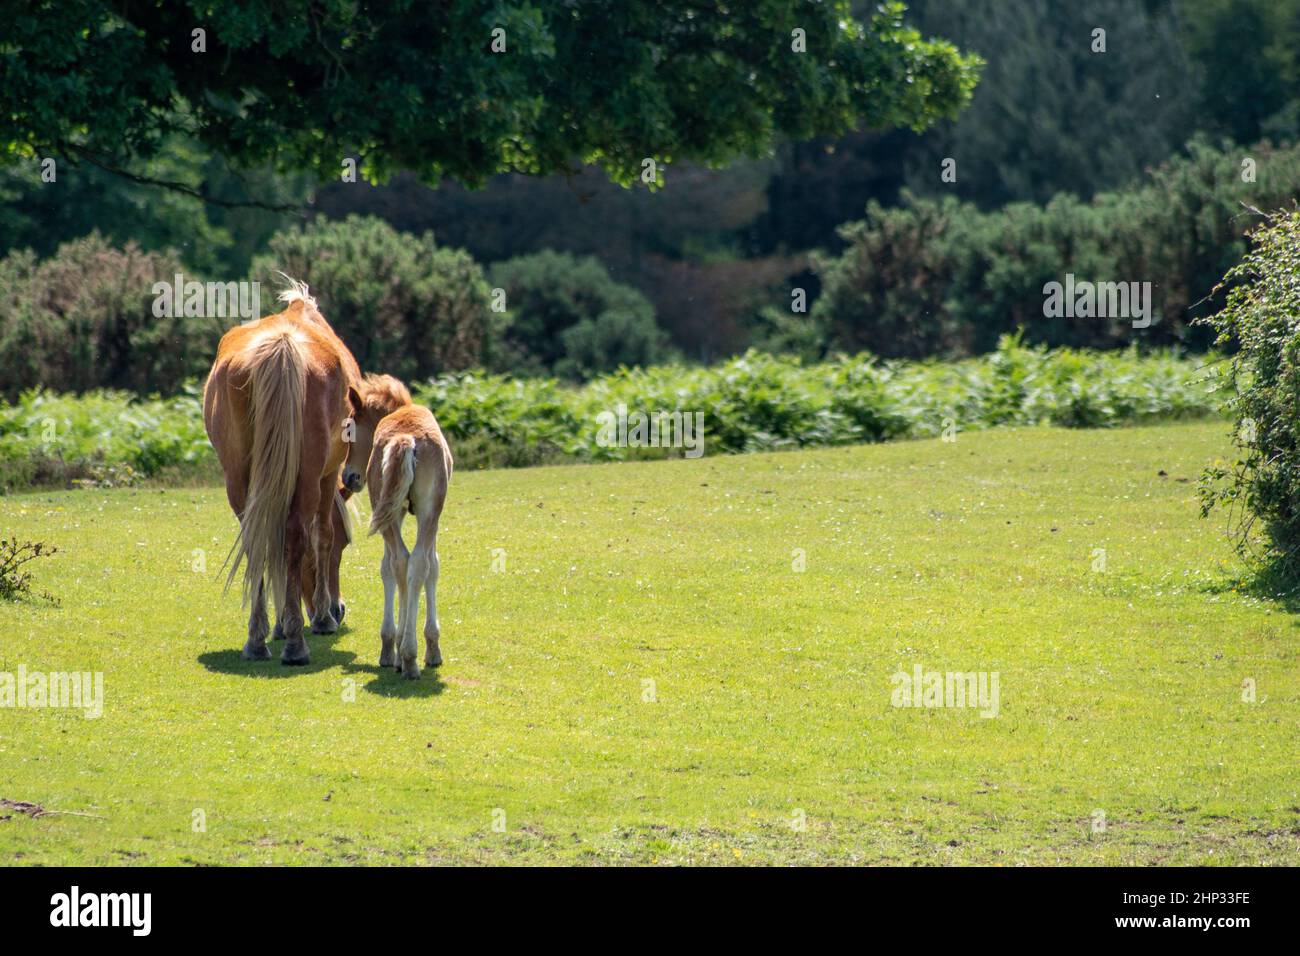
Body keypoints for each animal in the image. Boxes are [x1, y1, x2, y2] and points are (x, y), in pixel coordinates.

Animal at [202, 280, 366, 660]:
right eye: (345, 546)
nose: (340, 608)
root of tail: (281, 347)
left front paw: (277, 625)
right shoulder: (327, 475)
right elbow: (321, 535)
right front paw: (319, 619)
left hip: (238, 479)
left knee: (256, 538)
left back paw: (257, 638)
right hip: (308, 477)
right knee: (293, 537)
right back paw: (296, 644)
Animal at [356, 385, 457, 676]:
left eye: (351, 425)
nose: (349, 477)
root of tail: (406, 438)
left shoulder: (398, 512)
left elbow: (390, 567)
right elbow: (432, 566)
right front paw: (430, 648)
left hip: (395, 512)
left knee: (403, 561)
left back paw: (404, 654)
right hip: (426, 512)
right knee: (414, 562)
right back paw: (408, 655)